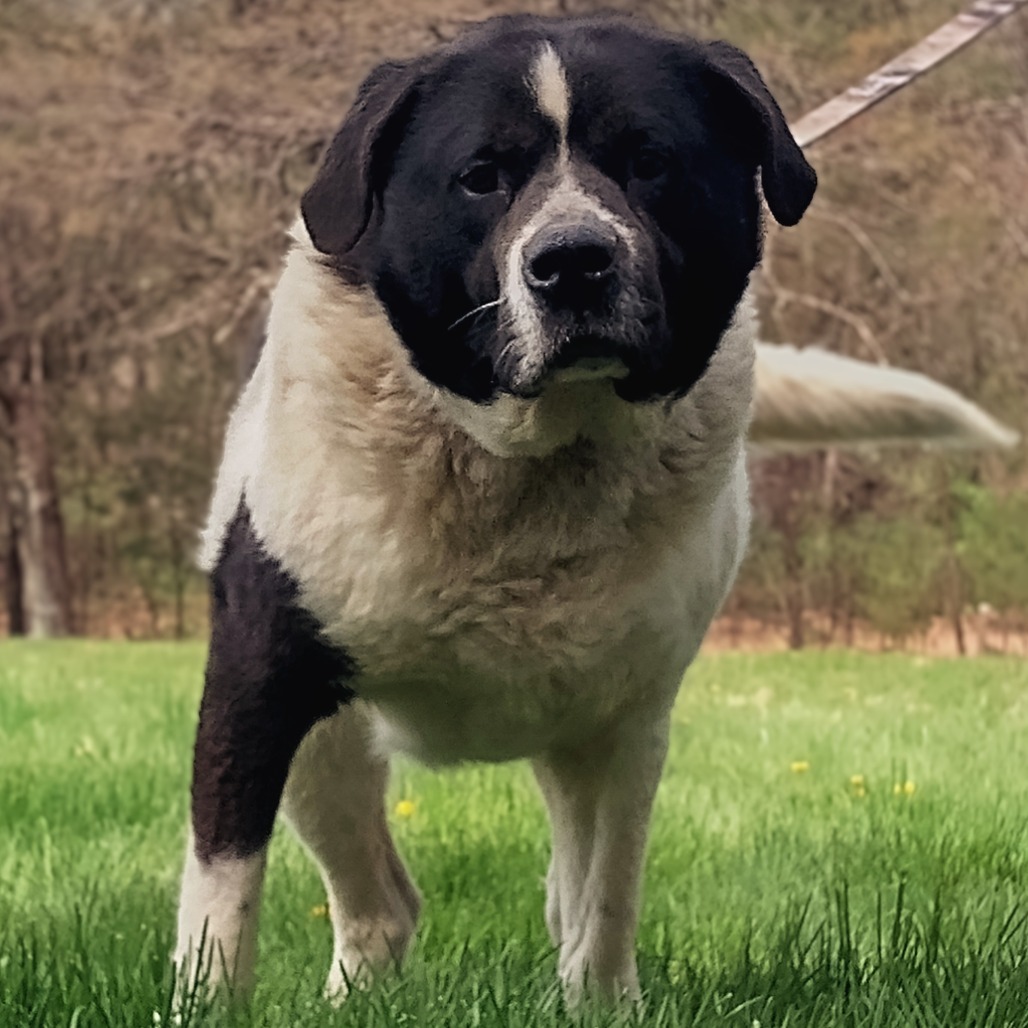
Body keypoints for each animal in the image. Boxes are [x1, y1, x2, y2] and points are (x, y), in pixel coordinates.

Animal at [174, 8, 834, 1003]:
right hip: (326, 752)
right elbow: (222, 901)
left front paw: (603, 1003)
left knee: (551, 886)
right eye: (481, 175)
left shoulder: (625, 719)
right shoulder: (260, 679)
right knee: (376, 903)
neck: (523, 471)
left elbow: (607, 899)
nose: (573, 262)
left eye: (650, 159)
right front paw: (205, 999)